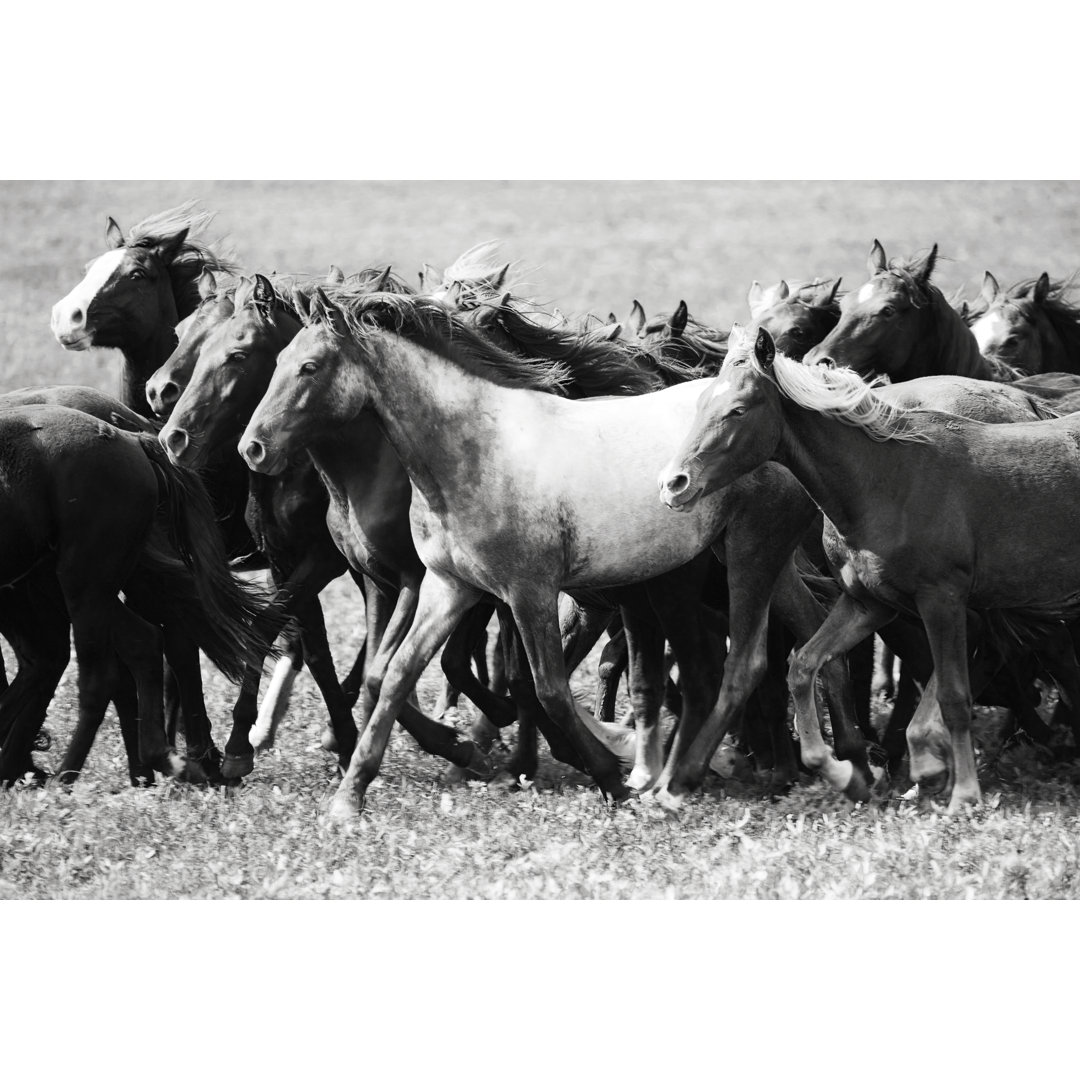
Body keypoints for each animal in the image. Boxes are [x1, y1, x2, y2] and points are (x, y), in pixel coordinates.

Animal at [0, 406, 268, 786]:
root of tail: (132, 439)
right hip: (85, 586)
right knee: (142, 642)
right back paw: (161, 758)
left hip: (83, 583)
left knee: (95, 676)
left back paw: (65, 777)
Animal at [238, 287, 876, 816]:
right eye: (276, 362)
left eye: (310, 367)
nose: (253, 448)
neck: (473, 451)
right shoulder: (449, 587)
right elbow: (394, 674)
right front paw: (350, 798)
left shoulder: (528, 592)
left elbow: (546, 686)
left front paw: (610, 777)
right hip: (731, 569)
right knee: (788, 646)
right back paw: (844, 768)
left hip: (748, 555)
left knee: (744, 663)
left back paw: (690, 781)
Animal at [656, 326, 1080, 812]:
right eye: (702, 402)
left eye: (738, 409)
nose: (673, 484)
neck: (887, 481)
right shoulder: (869, 603)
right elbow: (805, 664)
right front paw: (846, 771)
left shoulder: (941, 599)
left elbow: (955, 693)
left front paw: (962, 793)